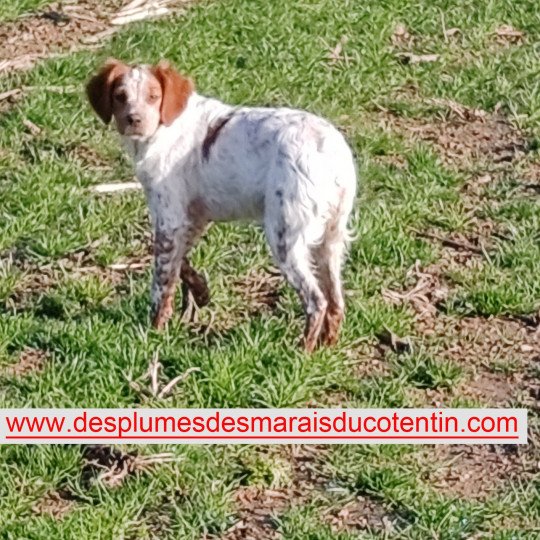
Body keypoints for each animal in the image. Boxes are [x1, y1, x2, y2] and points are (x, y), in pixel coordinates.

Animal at [87, 59, 358, 352]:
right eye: (120, 96)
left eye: (153, 96)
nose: (133, 120)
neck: (164, 128)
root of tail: (330, 150)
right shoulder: (192, 217)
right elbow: (181, 263)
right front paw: (201, 293)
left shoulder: (169, 217)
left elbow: (161, 282)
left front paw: (154, 333)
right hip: (331, 239)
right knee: (336, 301)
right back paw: (327, 347)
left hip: (285, 235)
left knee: (316, 301)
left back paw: (301, 353)